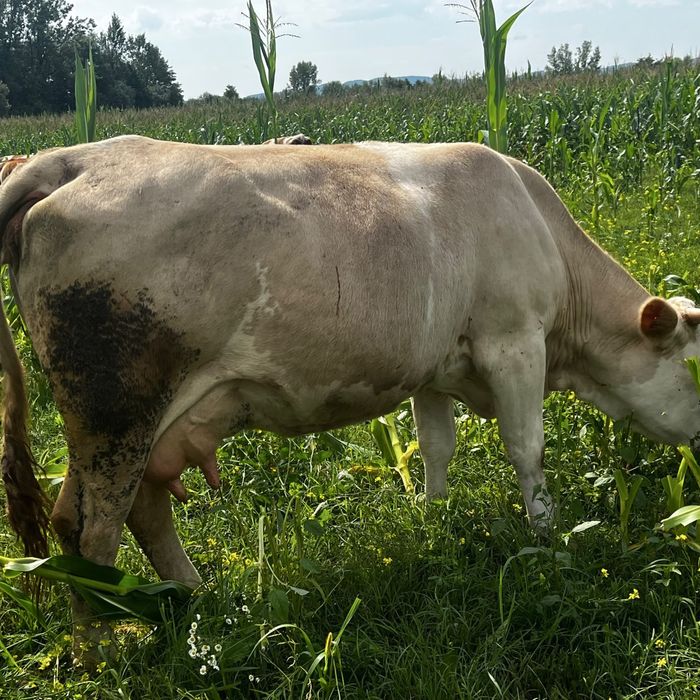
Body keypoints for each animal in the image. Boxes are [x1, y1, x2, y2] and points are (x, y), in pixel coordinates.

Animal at [1, 136, 700, 662]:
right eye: (695, 370)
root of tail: (70, 159)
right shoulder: (514, 339)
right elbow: (527, 449)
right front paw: (546, 541)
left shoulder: (434, 366)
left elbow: (436, 447)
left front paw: (436, 520)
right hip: (115, 409)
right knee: (93, 530)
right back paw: (99, 654)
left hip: (133, 423)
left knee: (125, 512)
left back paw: (199, 603)